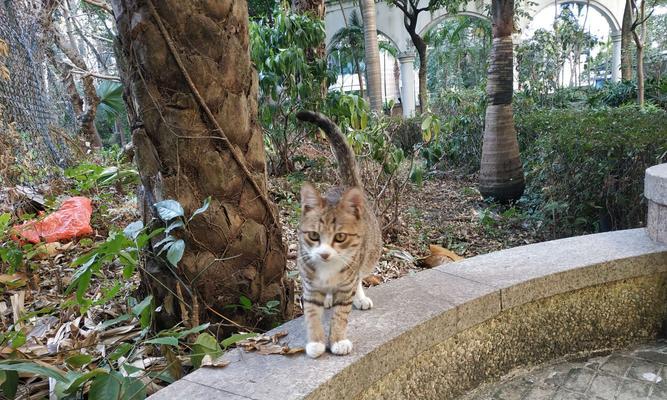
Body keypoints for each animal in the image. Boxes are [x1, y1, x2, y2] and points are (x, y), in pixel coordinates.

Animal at [296, 111, 384, 358]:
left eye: (340, 237)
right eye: (313, 236)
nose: (324, 254)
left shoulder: (346, 283)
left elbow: (340, 315)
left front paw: (337, 340)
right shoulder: (309, 285)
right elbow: (311, 314)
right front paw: (316, 342)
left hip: (369, 255)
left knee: (360, 277)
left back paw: (360, 297)